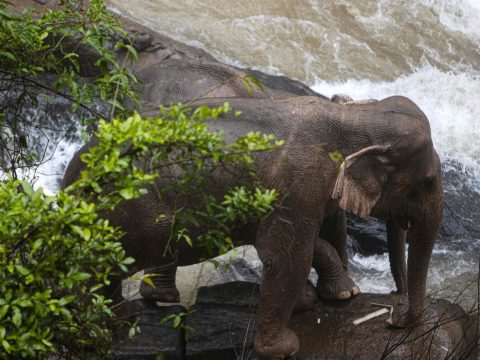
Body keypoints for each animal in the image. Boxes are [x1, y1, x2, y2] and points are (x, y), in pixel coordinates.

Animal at [62, 94, 444, 358]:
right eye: (426, 181)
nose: (393, 317)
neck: (353, 117)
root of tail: (71, 177)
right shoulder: (299, 183)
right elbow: (286, 257)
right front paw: (286, 347)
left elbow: (299, 244)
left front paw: (330, 296)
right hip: (132, 215)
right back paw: (116, 323)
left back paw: (142, 308)